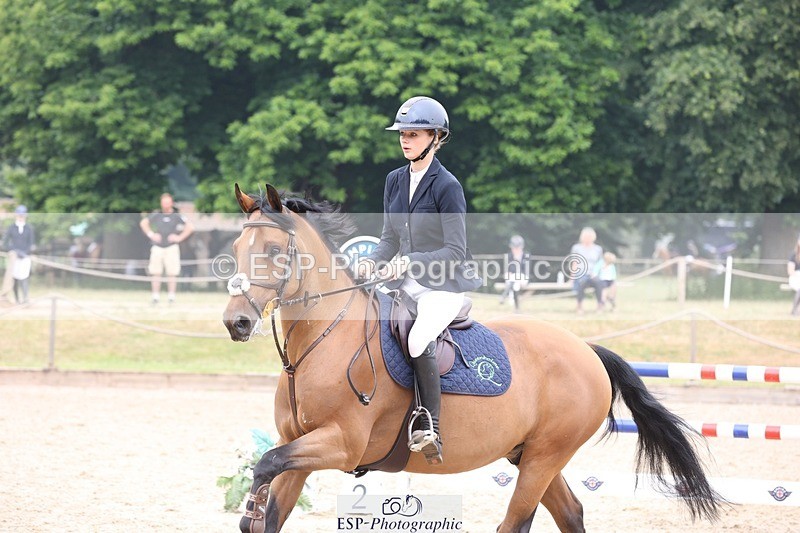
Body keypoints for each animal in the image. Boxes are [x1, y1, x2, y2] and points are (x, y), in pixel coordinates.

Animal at [222, 184, 724, 533]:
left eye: (273, 251)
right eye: (235, 251)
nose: (236, 323)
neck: (320, 342)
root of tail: (587, 351)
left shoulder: (341, 442)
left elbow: (264, 466)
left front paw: (249, 506)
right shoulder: (298, 443)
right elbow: (272, 503)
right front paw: (256, 510)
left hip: (544, 457)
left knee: (516, 521)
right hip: (532, 455)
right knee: (571, 512)